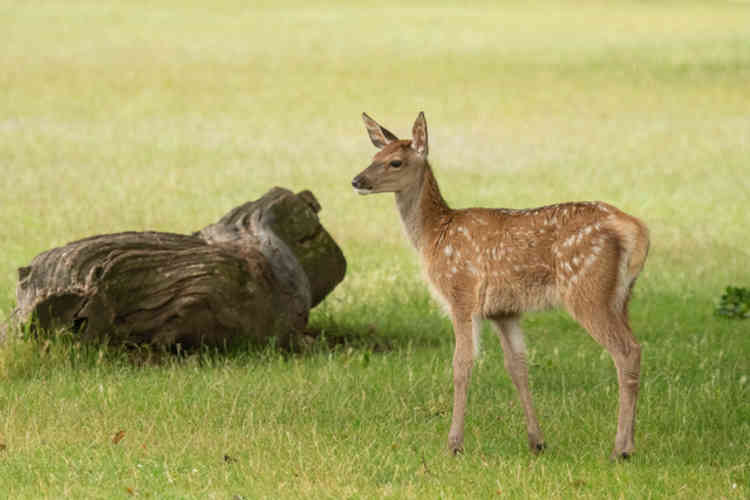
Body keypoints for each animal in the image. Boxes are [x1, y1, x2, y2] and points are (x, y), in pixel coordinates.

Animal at [354, 111, 652, 458]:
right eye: (374, 157)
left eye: (395, 162)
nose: (357, 181)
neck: (434, 234)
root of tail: (635, 228)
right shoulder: (504, 310)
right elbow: (518, 367)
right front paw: (537, 441)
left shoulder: (462, 292)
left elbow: (462, 364)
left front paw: (454, 444)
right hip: (622, 296)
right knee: (633, 347)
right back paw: (629, 442)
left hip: (587, 288)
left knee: (626, 351)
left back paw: (621, 448)